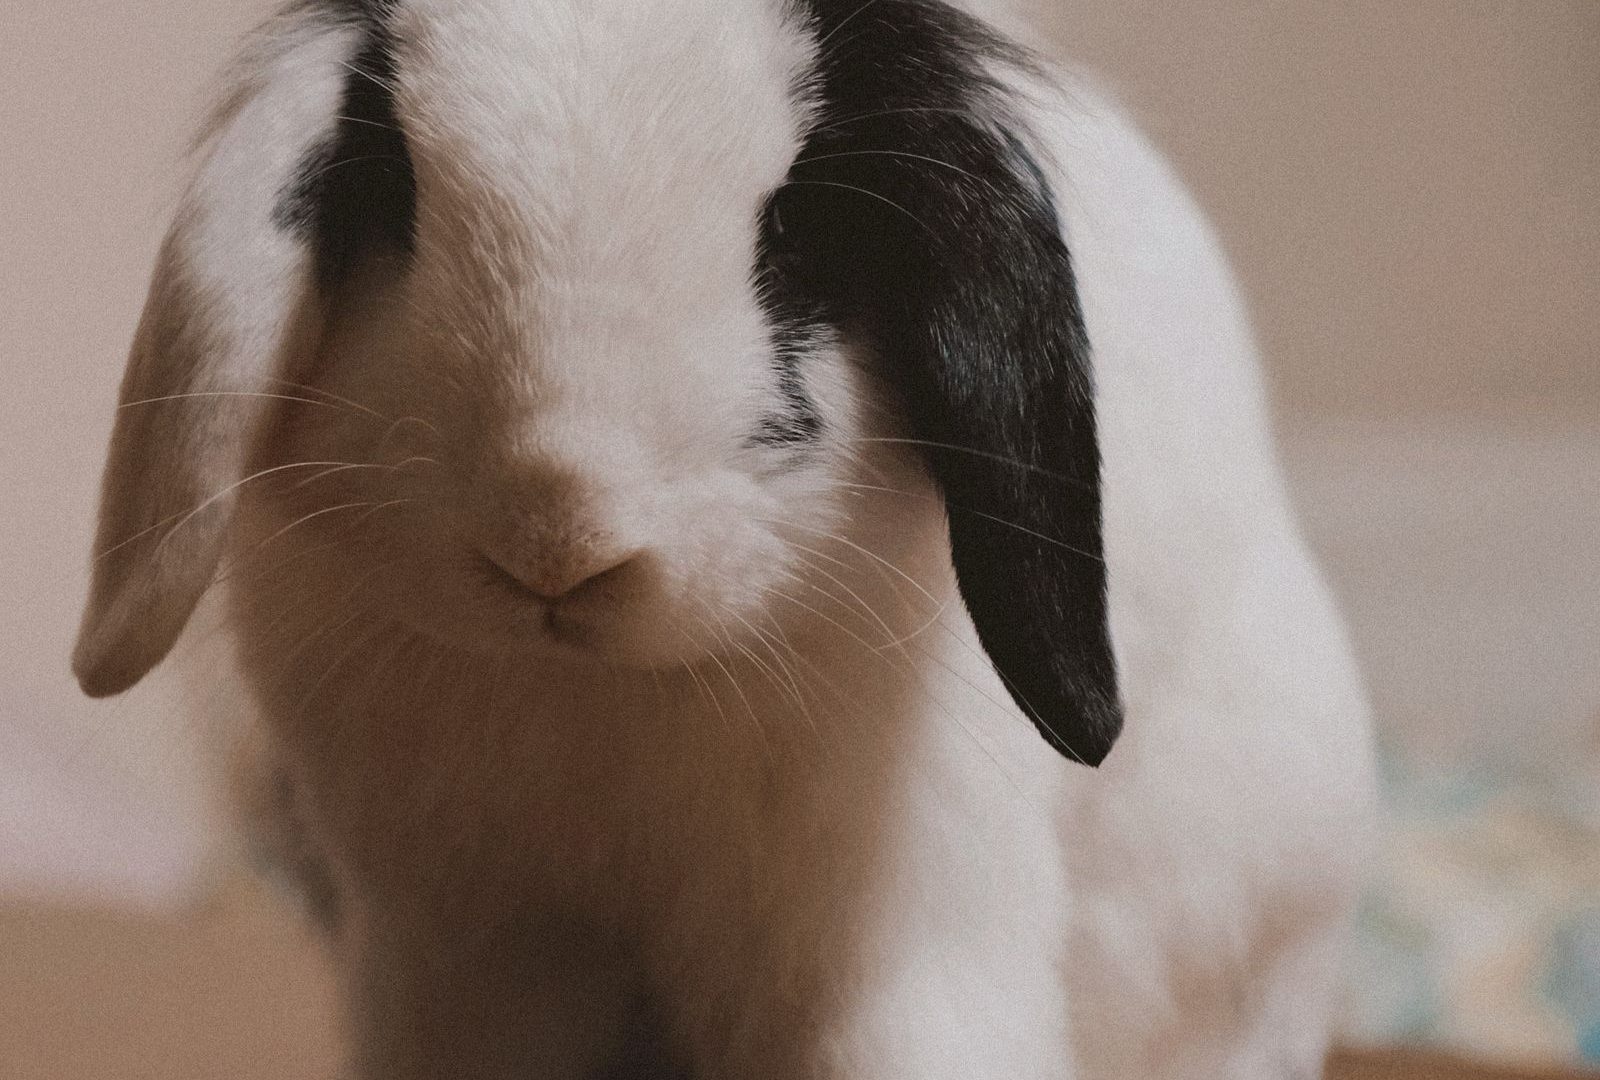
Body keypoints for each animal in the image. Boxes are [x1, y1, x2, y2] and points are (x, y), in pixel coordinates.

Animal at [73, 0, 1377, 1077]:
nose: (556, 542)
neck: (598, 694)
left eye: (793, 230)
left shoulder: (893, 942)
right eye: (393, 190)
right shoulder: (465, 957)